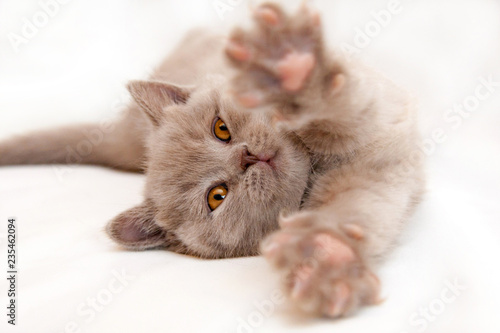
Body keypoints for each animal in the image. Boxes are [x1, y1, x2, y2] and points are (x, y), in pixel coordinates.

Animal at [0, 3, 424, 318]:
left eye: (221, 129)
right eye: (217, 196)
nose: (246, 157)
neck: (317, 167)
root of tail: (124, 135)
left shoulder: (374, 117)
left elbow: (338, 114)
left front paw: (289, 66)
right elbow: (349, 213)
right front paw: (322, 259)